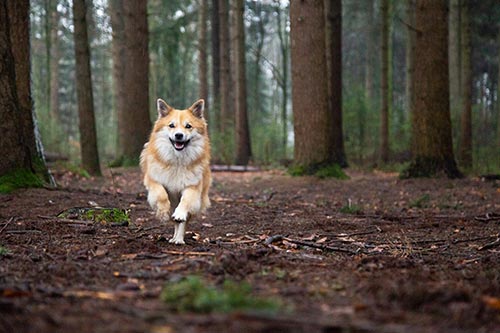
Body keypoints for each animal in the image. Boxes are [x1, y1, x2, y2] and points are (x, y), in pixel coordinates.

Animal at [140, 98, 212, 244]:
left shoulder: (192, 187)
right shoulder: (153, 180)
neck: (178, 161)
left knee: (182, 222)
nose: (179, 135)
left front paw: (179, 214)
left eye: (188, 126)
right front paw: (163, 212)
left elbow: (185, 202)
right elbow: (161, 194)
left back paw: (178, 239)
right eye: (171, 125)